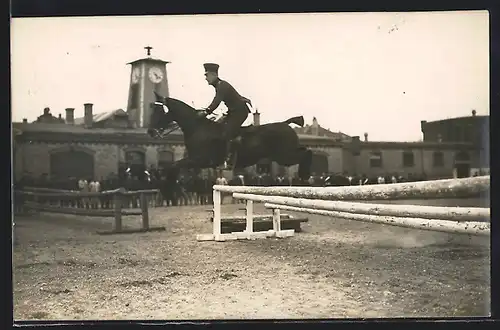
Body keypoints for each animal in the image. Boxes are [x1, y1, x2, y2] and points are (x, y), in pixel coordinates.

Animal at [148, 92, 312, 180]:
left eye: (159, 111)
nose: (150, 132)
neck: (197, 127)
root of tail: (286, 123)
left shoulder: (200, 160)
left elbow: (175, 165)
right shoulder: (197, 161)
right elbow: (174, 165)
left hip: (284, 156)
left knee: (307, 153)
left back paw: (304, 175)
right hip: (284, 156)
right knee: (305, 151)